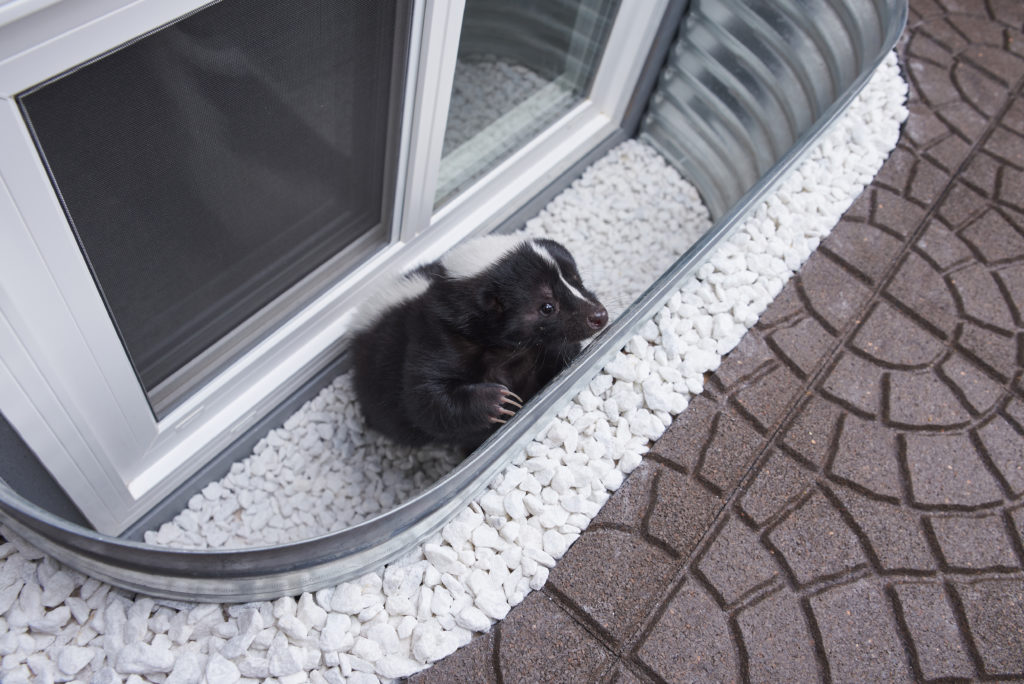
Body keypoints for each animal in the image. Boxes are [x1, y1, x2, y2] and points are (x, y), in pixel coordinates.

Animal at [352, 235, 606, 454]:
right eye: (547, 307)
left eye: (578, 281)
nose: (599, 315)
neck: (507, 351)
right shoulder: (436, 338)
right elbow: (424, 399)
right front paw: (498, 401)